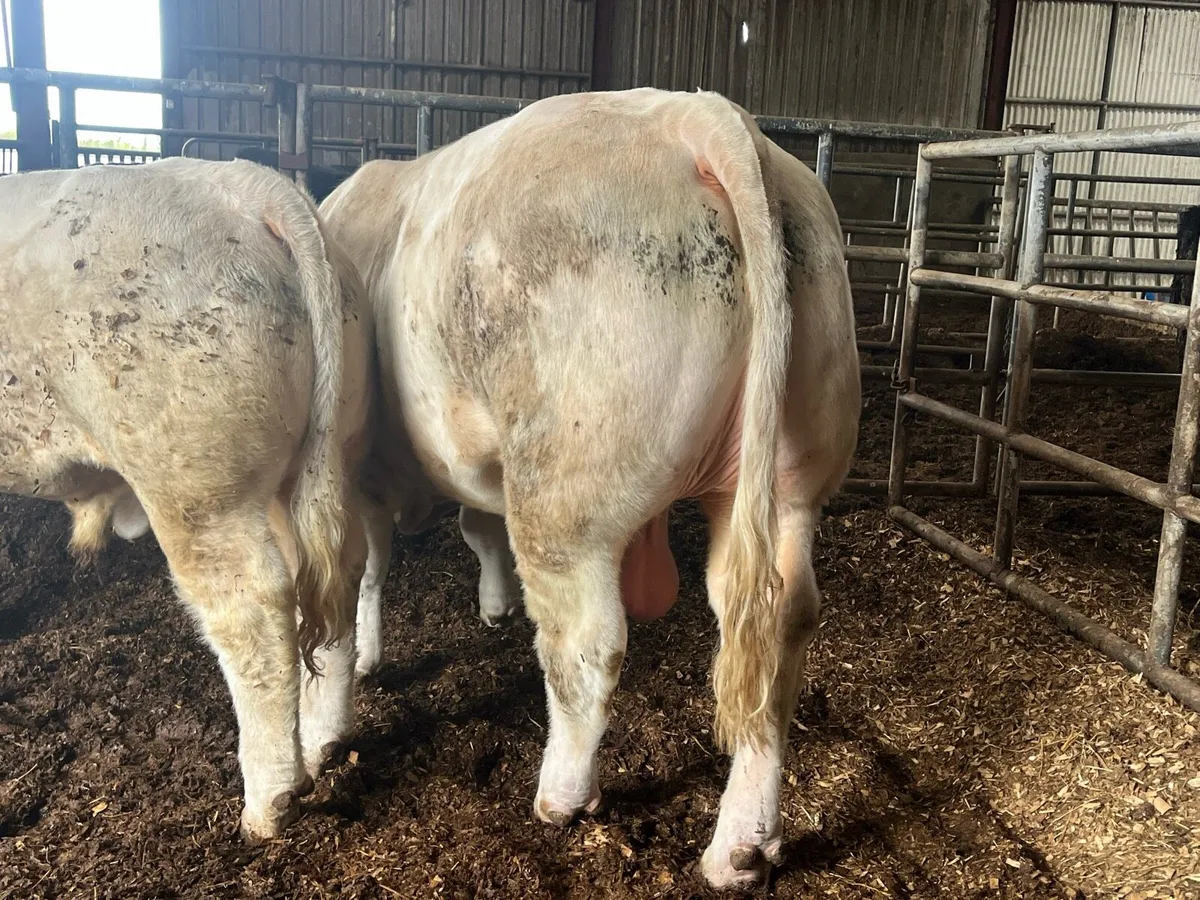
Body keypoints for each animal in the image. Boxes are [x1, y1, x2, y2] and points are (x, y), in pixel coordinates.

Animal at [0, 157, 373, 842]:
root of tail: (246, 186)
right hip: (321, 456)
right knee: (335, 576)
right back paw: (324, 743)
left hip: (194, 484)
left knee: (251, 608)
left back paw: (268, 807)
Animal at [320, 87, 861, 888]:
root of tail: (698, 117)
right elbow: (471, 529)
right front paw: (490, 606)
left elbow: (363, 576)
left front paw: (357, 673)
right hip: (791, 479)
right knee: (775, 628)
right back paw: (742, 847)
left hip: (564, 490)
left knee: (587, 643)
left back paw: (563, 796)